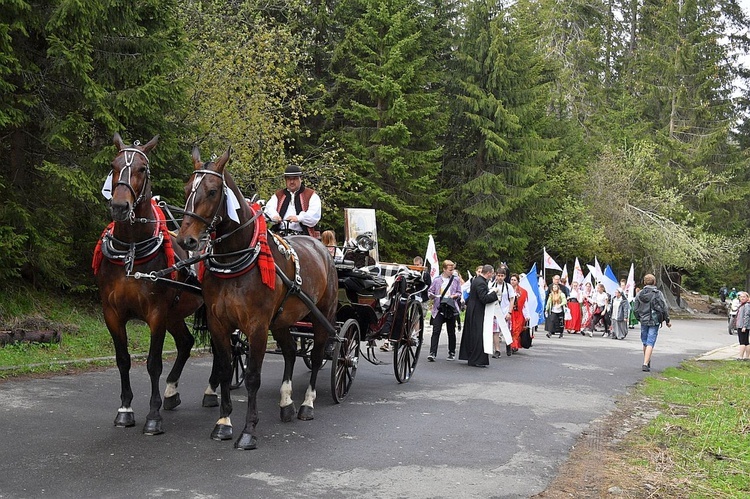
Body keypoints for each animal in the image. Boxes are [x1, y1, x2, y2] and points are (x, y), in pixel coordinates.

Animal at [95, 135, 204, 436]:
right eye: (113, 165)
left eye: (142, 168)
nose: (119, 207)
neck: (131, 249)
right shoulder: (112, 313)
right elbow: (123, 360)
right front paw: (125, 409)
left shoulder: (156, 313)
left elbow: (153, 363)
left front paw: (153, 416)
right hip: (175, 314)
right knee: (186, 343)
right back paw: (171, 392)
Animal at [176, 146, 338, 452]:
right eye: (187, 188)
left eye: (212, 191)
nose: (185, 240)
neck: (235, 262)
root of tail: (322, 248)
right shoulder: (219, 323)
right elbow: (225, 369)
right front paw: (223, 423)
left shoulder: (257, 325)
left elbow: (252, 377)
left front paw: (248, 431)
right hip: (283, 321)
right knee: (290, 351)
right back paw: (286, 403)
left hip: (320, 316)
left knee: (318, 354)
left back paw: (307, 404)